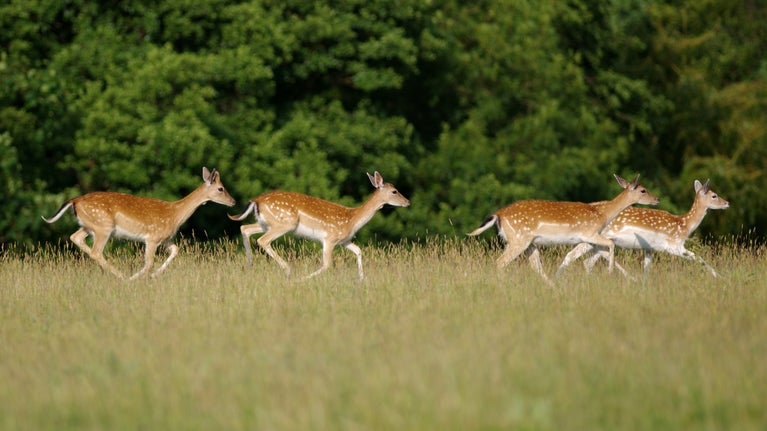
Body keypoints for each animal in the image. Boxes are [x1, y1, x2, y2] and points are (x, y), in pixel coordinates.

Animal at [42, 167, 236, 280]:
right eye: (221, 188)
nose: (233, 202)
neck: (175, 213)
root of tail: (74, 201)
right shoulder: (152, 238)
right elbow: (148, 263)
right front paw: (137, 278)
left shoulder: (164, 239)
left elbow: (176, 250)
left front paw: (154, 275)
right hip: (103, 226)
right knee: (96, 251)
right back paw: (122, 276)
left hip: (89, 226)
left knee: (76, 238)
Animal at [228, 171, 410, 280]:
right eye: (394, 191)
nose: (407, 201)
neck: (352, 220)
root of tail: (256, 200)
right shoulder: (329, 238)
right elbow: (327, 265)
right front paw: (301, 281)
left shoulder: (344, 241)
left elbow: (359, 250)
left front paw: (361, 279)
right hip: (285, 223)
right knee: (263, 240)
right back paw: (287, 270)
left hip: (266, 223)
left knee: (245, 228)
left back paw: (249, 264)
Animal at [467, 174, 659, 286]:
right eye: (643, 190)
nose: (657, 199)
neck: (603, 214)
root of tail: (499, 214)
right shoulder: (589, 233)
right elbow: (610, 245)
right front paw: (609, 273)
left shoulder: (589, 239)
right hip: (519, 239)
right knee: (500, 262)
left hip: (526, 242)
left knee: (536, 267)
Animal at [557, 179, 729, 278]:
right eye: (714, 195)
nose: (727, 203)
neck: (684, 225)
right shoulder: (674, 246)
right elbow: (699, 258)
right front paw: (721, 278)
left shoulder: (650, 248)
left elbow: (647, 270)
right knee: (572, 256)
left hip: (596, 243)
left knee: (587, 261)